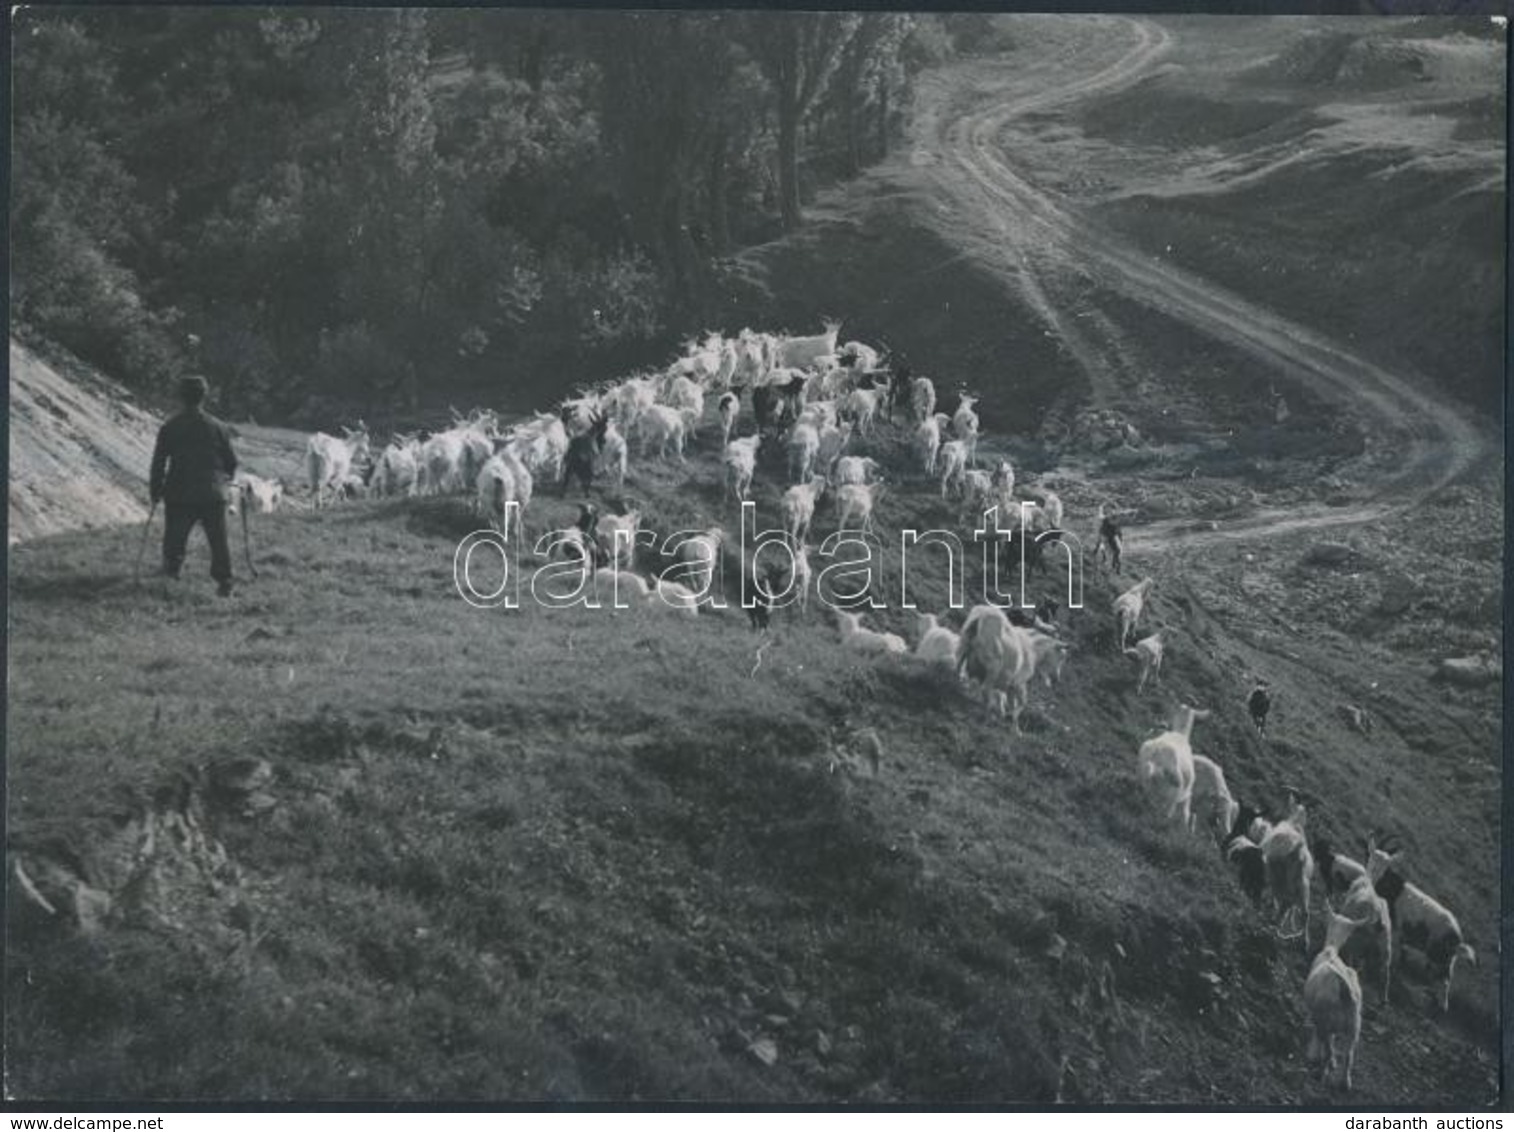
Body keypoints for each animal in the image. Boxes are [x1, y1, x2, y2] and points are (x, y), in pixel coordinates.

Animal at [1302, 901, 1374, 1089]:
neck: (1331, 950)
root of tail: (1344, 991)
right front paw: (1333, 1062)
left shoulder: (1319, 1017)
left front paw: (1313, 1054)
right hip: (1354, 1027)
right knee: (1349, 1055)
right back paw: (1345, 1083)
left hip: (1327, 1020)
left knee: (1327, 1048)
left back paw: (1321, 1074)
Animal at [1368, 835, 1471, 1010]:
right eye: (1372, 856)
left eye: (1386, 863)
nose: (1373, 871)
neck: (1388, 884)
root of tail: (1457, 938)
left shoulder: (1392, 924)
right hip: (1447, 960)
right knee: (1445, 979)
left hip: (1438, 956)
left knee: (1443, 981)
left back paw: (1439, 1006)